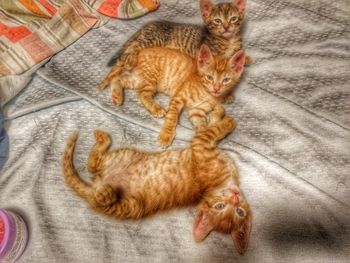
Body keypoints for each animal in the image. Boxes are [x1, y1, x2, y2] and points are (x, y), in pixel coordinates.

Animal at [62, 117, 252, 256]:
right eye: (220, 206)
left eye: (239, 212)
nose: (235, 197)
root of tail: (99, 182)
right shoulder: (201, 145)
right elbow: (210, 130)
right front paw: (224, 121)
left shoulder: (201, 146)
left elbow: (210, 131)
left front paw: (227, 122)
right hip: (126, 155)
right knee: (92, 164)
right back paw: (102, 141)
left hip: (130, 205)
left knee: (95, 176)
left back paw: (106, 189)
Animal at [100, 0, 250, 103]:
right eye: (217, 21)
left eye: (233, 19)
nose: (226, 27)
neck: (228, 40)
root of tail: (148, 25)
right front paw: (227, 94)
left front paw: (246, 59)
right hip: (152, 40)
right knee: (125, 57)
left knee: (121, 61)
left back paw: (106, 83)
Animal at [110, 45, 245, 147]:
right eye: (209, 77)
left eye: (226, 80)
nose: (216, 88)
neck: (207, 94)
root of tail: (140, 52)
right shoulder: (178, 98)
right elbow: (172, 117)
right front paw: (166, 135)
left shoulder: (197, 111)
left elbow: (204, 123)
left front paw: (205, 134)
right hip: (151, 78)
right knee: (142, 93)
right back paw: (156, 108)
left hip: (138, 79)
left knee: (119, 79)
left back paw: (117, 95)